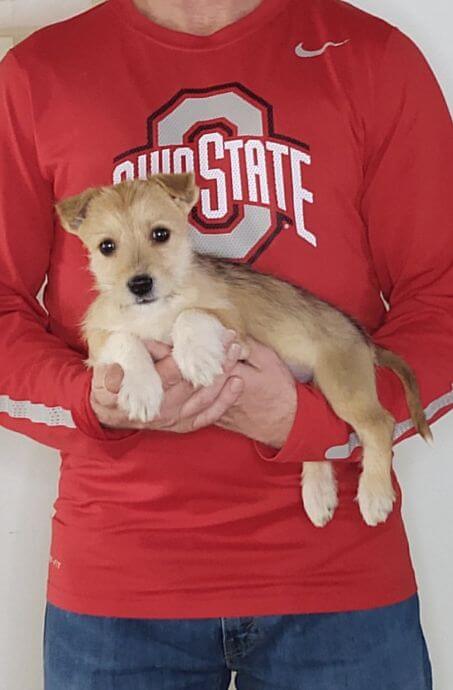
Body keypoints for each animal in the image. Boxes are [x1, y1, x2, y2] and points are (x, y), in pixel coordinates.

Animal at [57, 172, 430, 528]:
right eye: (106, 246)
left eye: (160, 234)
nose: (139, 285)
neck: (155, 309)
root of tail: (362, 336)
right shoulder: (98, 341)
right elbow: (124, 339)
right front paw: (140, 389)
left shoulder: (233, 325)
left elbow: (191, 315)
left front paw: (197, 357)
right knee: (314, 438)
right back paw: (318, 494)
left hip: (343, 386)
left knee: (379, 424)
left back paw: (374, 496)